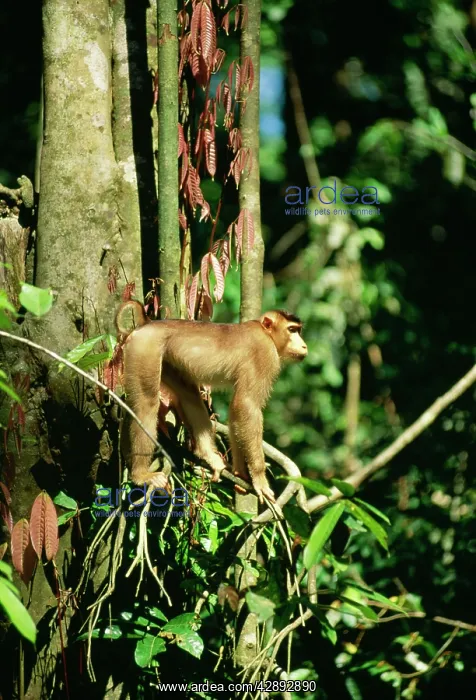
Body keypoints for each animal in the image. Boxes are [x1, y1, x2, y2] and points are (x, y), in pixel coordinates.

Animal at [116, 300, 308, 503]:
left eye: (298, 330)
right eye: (292, 330)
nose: (304, 346)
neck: (265, 332)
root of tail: (147, 324)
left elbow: (236, 410)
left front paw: (240, 473)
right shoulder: (264, 353)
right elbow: (247, 404)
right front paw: (259, 479)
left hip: (168, 360)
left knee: (188, 394)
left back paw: (208, 456)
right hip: (145, 349)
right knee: (147, 403)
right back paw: (140, 474)